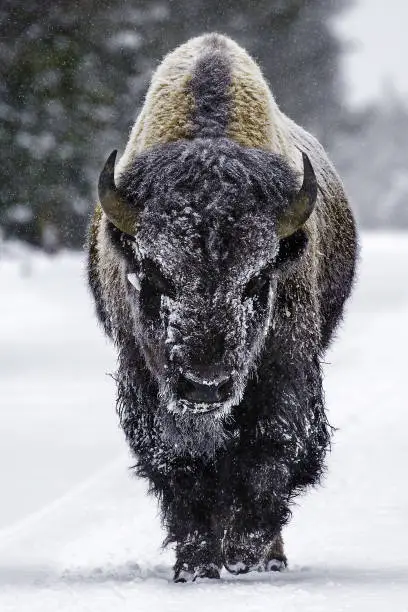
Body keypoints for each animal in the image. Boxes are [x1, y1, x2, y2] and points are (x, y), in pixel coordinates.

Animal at [87, 33, 356, 584]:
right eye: (154, 274)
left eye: (257, 278)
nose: (205, 385)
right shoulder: (147, 381)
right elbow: (182, 467)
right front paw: (195, 564)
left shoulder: (285, 372)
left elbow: (271, 452)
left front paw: (247, 553)